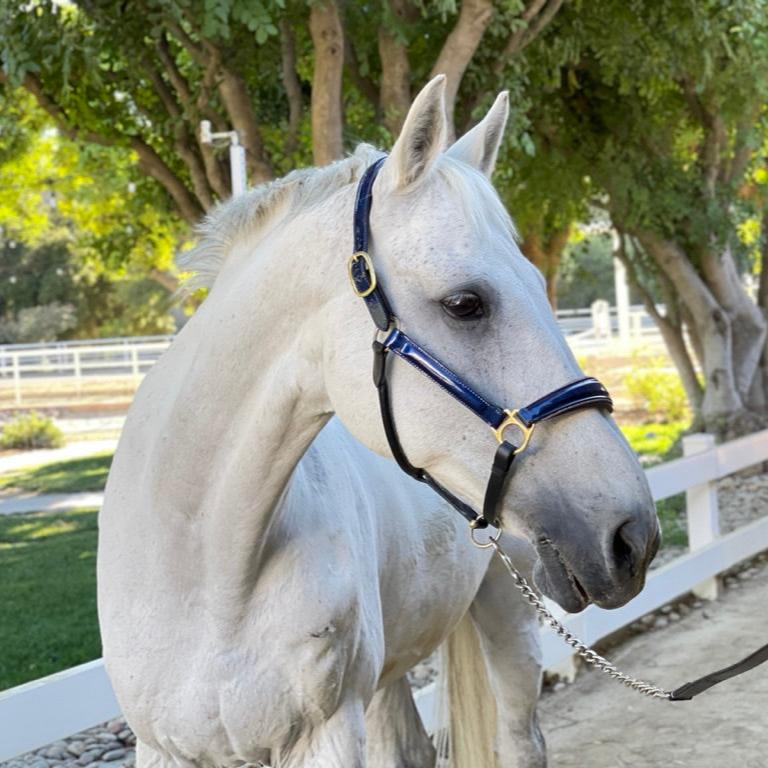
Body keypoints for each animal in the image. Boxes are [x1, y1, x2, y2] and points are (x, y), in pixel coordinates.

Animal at [97, 73, 660, 768]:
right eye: (465, 303)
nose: (632, 536)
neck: (207, 571)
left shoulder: (329, 733)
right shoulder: (164, 747)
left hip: (509, 617)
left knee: (519, 740)